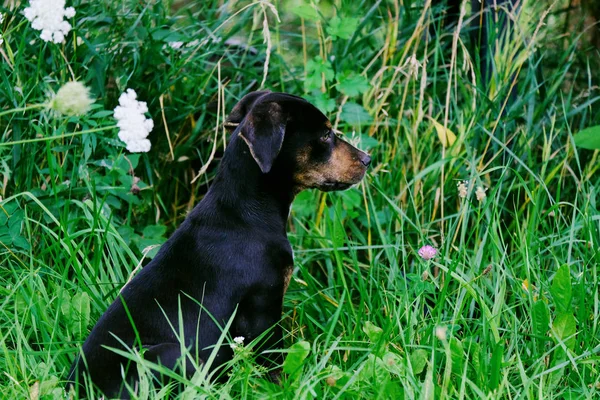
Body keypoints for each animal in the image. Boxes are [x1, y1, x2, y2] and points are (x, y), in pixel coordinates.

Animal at [65, 90, 370, 396]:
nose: (367, 158)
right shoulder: (263, 308)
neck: (246, 213)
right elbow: (274, 363)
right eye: (325, 135)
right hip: (174, 355)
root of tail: (81, 389)